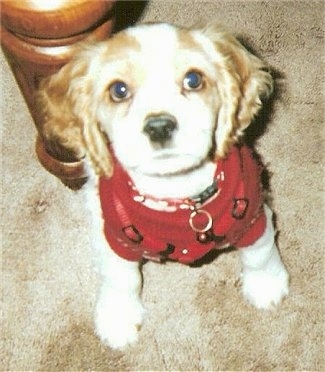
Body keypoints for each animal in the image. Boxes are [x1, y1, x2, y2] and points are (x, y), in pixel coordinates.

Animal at [36, 22, 288, 348]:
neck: (178, 196)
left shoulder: (252, 216)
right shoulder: (116, 238)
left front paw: (266, 285)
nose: (159, 127)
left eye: (193, 79)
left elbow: (260, 252)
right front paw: (117, 318)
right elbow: (120, 277)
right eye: (118, 90)